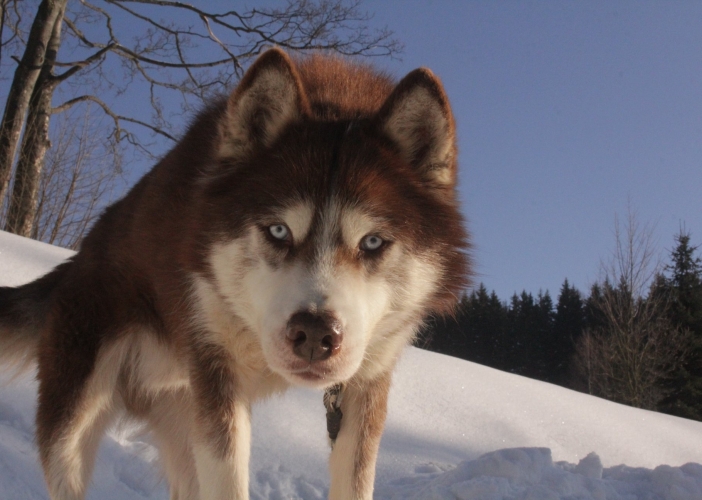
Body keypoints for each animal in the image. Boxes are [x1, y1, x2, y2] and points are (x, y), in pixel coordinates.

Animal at [2, 47, 472, 500]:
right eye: (278, 230)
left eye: (372, 242)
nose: (315, 334)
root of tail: (76, 261)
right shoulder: (217, 372)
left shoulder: (364, 387)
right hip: (75, 416)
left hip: (182, 419)